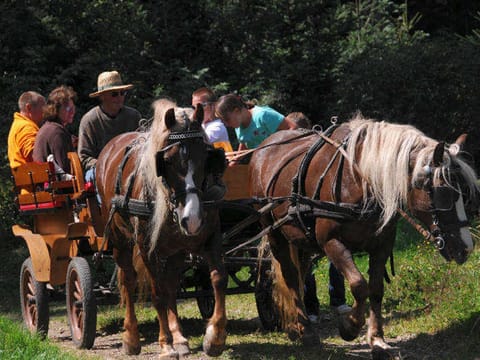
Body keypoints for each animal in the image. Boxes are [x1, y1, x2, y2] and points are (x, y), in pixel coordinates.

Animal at [95, 99, 229, 360]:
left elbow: (218, 278)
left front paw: (214, 337)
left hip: (175, 251)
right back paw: (132, 337)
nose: (191, 219)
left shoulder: (211, 237)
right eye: (167, 161)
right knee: (128, 281)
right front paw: (165, 345)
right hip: (119, 240)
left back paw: (179, 337)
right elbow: (156, 294)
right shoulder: (147, 247)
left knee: (170, 286)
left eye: (205, 156)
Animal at [249, 116, 478, 358]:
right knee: (290, 277)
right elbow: (359, 286)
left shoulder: (382, 245)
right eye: (443, 191)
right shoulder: (331, 242)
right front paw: (349, 326)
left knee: (300, 275)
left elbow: (376, 289)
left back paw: (295, 327)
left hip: (301, 240)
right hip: (275, 234)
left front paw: (377, 339)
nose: (466, 247)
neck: (359, 181)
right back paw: (306, 331)